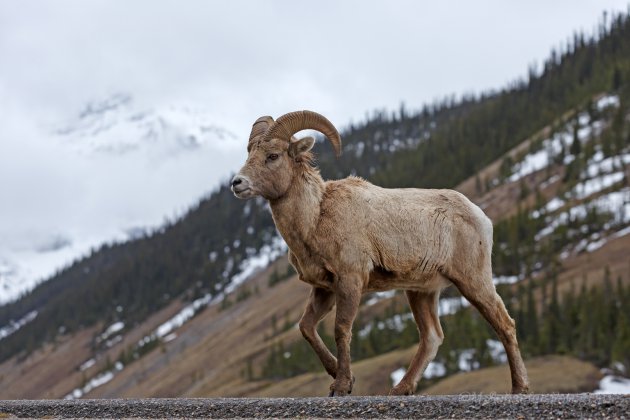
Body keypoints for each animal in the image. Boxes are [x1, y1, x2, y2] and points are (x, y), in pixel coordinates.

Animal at [231, 110, 528, 396]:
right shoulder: (325, 289)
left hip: (473, 281)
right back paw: (400, 390)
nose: (237, 183)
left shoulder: (350, 281)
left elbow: (342, 329)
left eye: (272, 155)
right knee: (432, 337)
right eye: (250, 153)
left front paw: (342, 387)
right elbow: (306, 327)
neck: (315, 217)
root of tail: (480, 216)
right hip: (421, 292)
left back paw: (519, 388)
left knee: (505, 324)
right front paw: (339, 376)